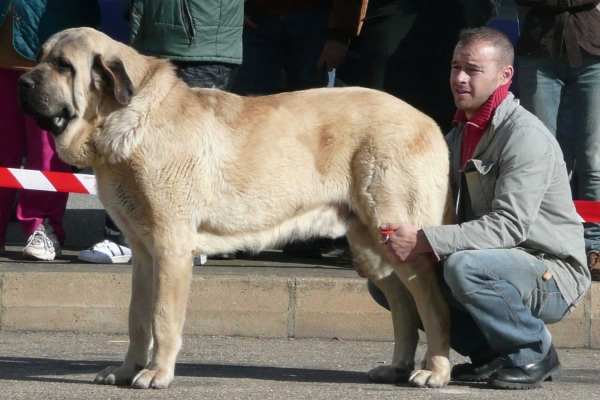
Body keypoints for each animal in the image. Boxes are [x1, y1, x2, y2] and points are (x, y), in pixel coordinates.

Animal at [17, 28, 450, 390]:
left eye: (63, 66)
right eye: (39, 57)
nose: (22, 83)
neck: (121, 117)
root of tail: (428, 120)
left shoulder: (171, 248)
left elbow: (162, 317)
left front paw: (157, 374)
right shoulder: (143, 252)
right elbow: (137, 317)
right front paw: (126, 370)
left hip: (398, 231)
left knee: (430, 300)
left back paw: (435, 370)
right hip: (370, 245)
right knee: (401, 304)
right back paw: (397, 367)